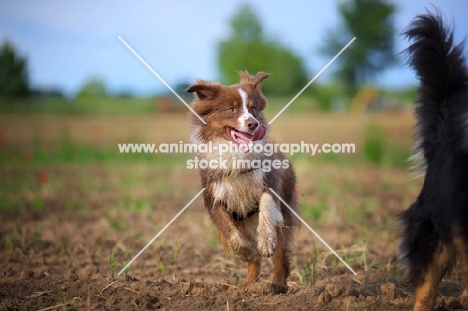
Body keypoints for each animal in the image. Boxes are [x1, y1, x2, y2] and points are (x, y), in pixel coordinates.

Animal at [187, 72, 300, 288]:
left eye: (253, 108)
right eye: (231, 109)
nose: (253, 124)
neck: (236, 155)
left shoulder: (270, 183)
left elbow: (266, 203)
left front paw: (265, 240)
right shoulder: (214, 199)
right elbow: (231, 234)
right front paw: (248, 252)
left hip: (286, 210)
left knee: (280, 255)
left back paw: (277, 285)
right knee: (255, 259)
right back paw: (246, 286)